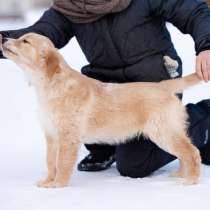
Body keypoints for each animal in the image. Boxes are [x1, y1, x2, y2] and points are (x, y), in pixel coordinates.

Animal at [1, 33, 202, 188]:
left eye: (25, 41)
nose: (3, 38)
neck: (51, 85)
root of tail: (163, 85)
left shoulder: (68, 136)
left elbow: (62, 162)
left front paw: (58, 185)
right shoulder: (51, 135)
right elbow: (51, 162)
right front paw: (47, 182)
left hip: (163, 131)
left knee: (191, 151)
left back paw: (191, 180)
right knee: (184, 152)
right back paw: (182, 174)